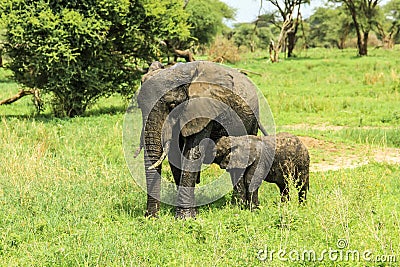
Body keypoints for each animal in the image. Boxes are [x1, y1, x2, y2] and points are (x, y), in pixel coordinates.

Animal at [138, 61, 268, 220]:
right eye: (139, 106)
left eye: (172, 105)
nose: (151, 217)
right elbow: (175, 156)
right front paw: (194, 213)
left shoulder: (204, 110)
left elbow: (193, 152)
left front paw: (184, 218)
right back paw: (236, 205)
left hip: (252, 121)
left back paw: (239, 206)